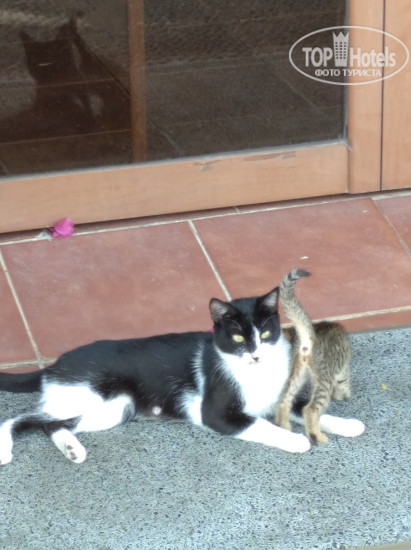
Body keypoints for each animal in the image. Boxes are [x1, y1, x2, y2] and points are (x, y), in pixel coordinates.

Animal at [0, 287, 312, 465]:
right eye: (237, 338)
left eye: (266, 333)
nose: (256, 355)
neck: (257, 373)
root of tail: (55, 363)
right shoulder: (217, 413)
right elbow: (261, 424)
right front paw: (296, 440)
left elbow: (309, 410)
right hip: (83, 392)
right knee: (22, 418)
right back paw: (5, 448)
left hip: (115, 408)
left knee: (50, 425)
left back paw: (72, 449)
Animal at [275, 269, 363, 444]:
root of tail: (310, 339)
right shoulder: (342, 371)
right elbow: (344, 382)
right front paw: (344, 395)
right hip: (323, 380)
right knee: (309, 409)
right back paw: (317, 436)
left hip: (297, 373)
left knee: (285, 400)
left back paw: (284, 425)